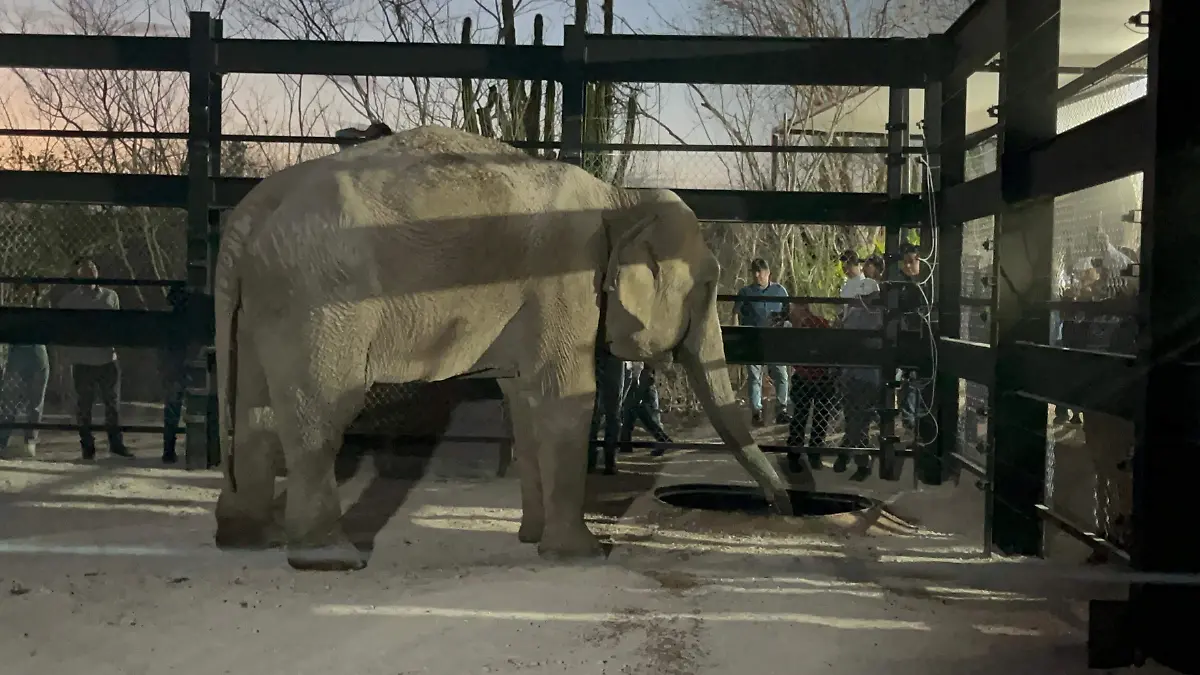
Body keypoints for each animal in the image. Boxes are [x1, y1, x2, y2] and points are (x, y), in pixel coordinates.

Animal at [212, 125, 798, 571]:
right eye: (708, 288)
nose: (783, 505)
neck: (619, 199)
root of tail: (248, 215)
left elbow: (524, 401)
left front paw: (531, 539)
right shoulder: (567, 276)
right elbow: (567, 398)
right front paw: (585, 555)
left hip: (263, 305)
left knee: (252, 405)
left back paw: (247, 538)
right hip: (320, 302)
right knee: (322, 412)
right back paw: (330, 557)